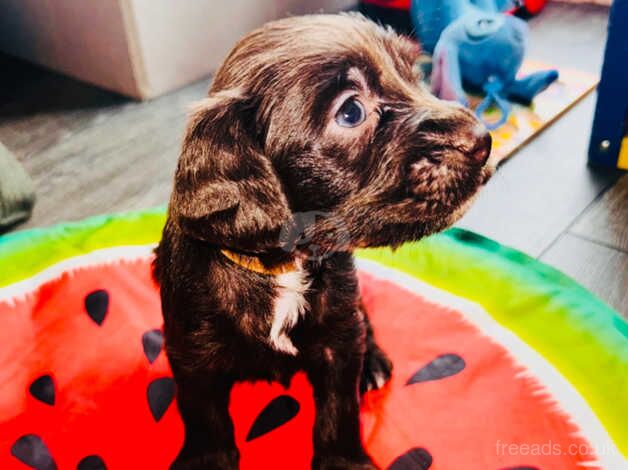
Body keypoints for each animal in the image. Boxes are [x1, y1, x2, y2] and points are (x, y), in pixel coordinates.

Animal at [155, 12, 494, 468]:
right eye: (351, 111)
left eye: (414, 72)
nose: (483, 139)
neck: (283, 268)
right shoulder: (191, 354)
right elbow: (204, 416)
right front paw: (207, 460)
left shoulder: (338, 338)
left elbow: (338, 408)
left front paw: (343, 460)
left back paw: (374, 362)